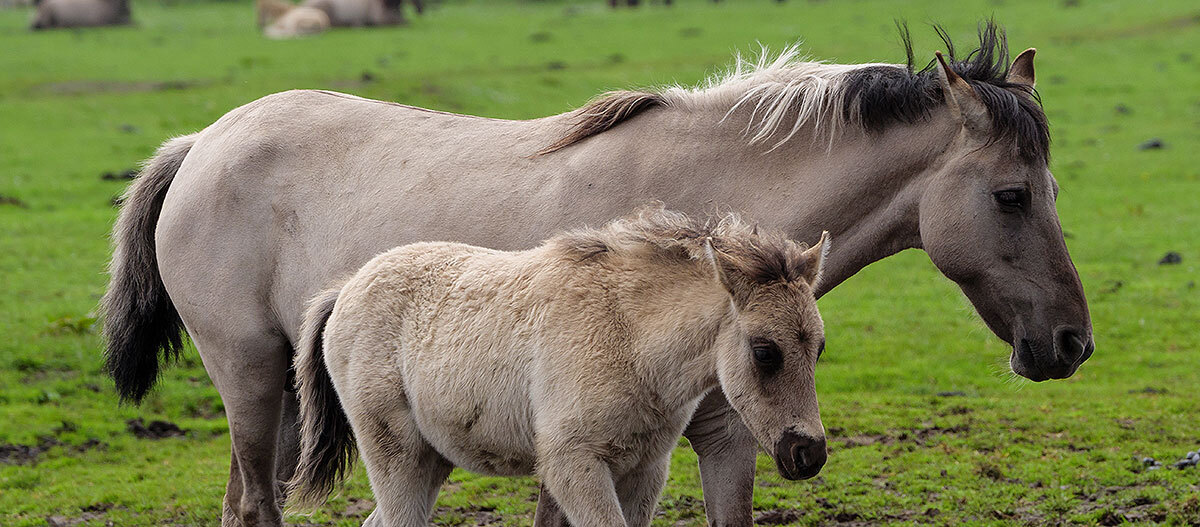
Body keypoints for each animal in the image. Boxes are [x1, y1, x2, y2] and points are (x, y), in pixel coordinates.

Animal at [287, 208, 831, 526]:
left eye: (820, 348)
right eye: (764, 351)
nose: (808, 453)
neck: (629, 335)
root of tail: (347, 288)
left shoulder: (644, 469)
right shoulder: (574, 464)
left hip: (429, 458)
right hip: (393, 451)